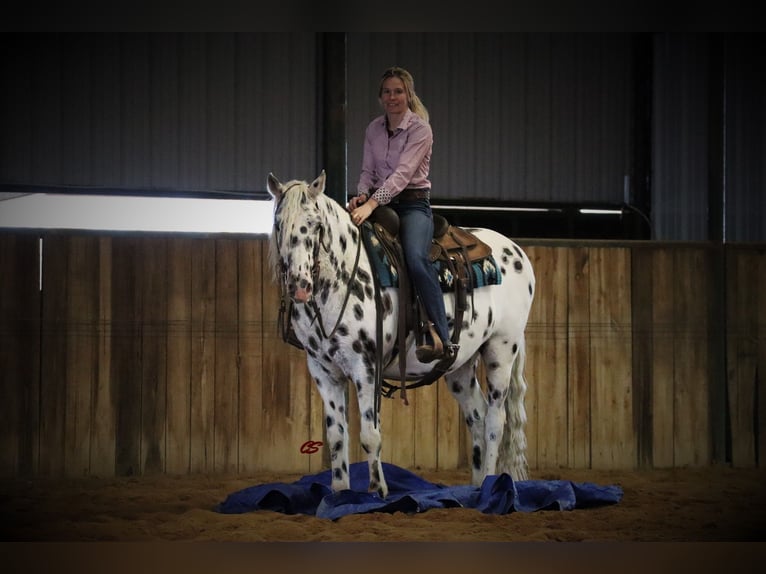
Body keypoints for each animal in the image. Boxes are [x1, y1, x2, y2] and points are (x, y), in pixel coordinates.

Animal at [270, 171, 540, 500]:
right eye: (279, 224)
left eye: (315, 224)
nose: (299, 285)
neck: (343, 277)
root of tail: (516, 250)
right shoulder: (323, 370)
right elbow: (336, 436)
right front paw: (339, 493)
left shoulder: (366, 367)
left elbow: (370, 435)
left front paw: (378, 491)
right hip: (460, 364)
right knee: (476, 416)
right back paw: (475, 488)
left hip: (501, 349)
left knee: (494, 421)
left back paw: (489, 483)